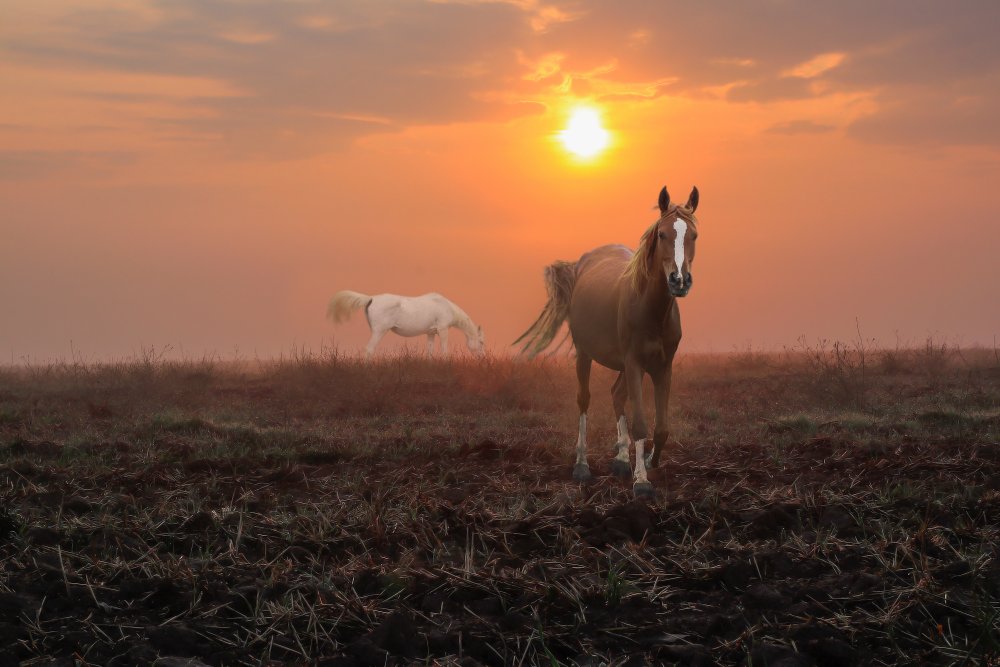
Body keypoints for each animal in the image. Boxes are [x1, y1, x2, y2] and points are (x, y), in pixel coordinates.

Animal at [326, 290, 486, 358]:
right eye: (482, 342)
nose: (483, 358)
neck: (446, 306)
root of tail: (371, 298)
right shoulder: (443, 330)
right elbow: (444, 351)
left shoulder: (431, 333)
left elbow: (430, 352)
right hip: (379, 332)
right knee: (369, 350)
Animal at [520, 185, 700, 498]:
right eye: (662, 234)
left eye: (694, 235)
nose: (679, 281)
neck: (652, 310)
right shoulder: (635, 363)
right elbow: (640, 423)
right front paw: (642, 482)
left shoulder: (663, 367)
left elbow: (662, 428)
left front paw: (648, 461)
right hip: (585, 355)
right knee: (584, 399)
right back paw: (582, 466)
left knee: (616, 394)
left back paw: (621, 460)